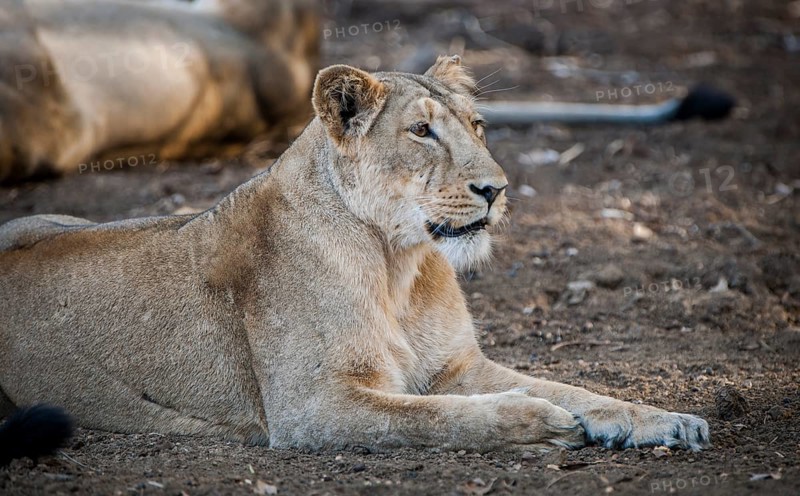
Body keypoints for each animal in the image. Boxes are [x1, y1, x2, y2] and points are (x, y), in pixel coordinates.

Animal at [0, 56, 710, 452]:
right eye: (421, 131)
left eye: (477, 126)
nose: (497, 188)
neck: (399, 265)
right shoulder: (313, 407)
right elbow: (442, 419)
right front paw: (539, 422)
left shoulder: (454, 366)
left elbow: (576, 387)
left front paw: (666, 420)